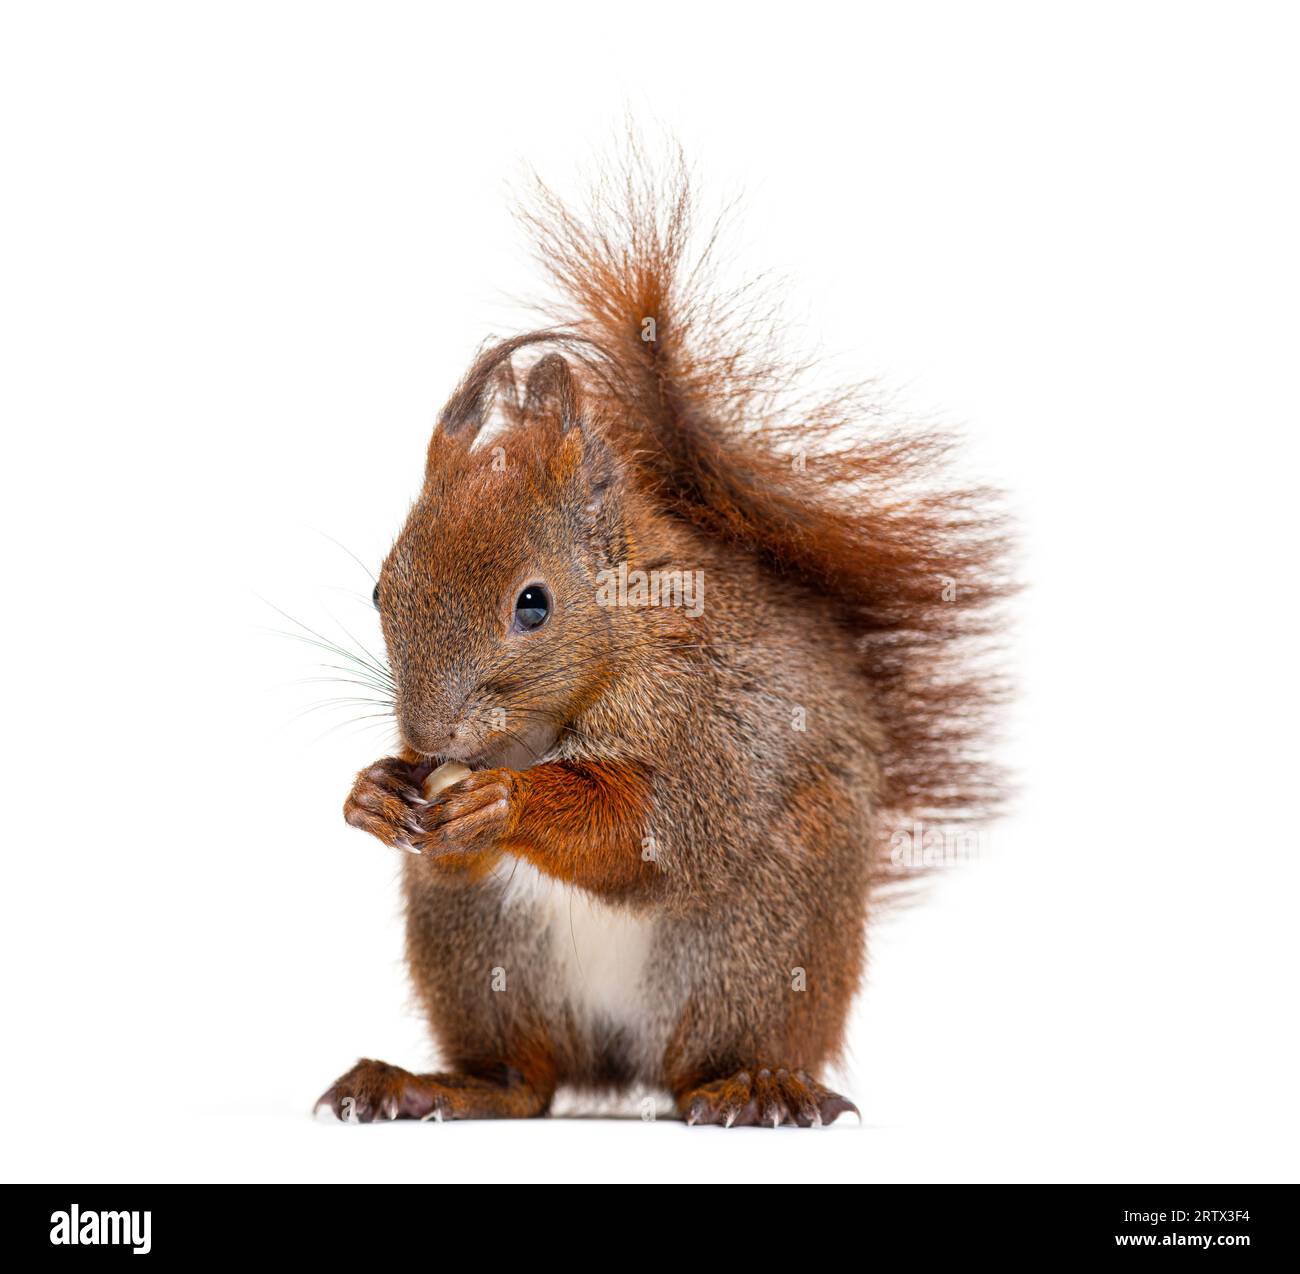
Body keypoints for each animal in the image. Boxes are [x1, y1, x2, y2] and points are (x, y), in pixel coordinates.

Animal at [315, 150, 1010, 1128]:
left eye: (533, 604)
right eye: (381, 587)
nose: (427, 737)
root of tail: (620, 1066)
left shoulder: (709, 723)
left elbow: (651, 832)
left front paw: (509, 802)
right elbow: (449, 851)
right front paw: (374, 792)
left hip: (757, 946)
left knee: (701, 1066)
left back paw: (757, 1089)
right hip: (483, 957)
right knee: (526, 1082)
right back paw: (435, 1085)